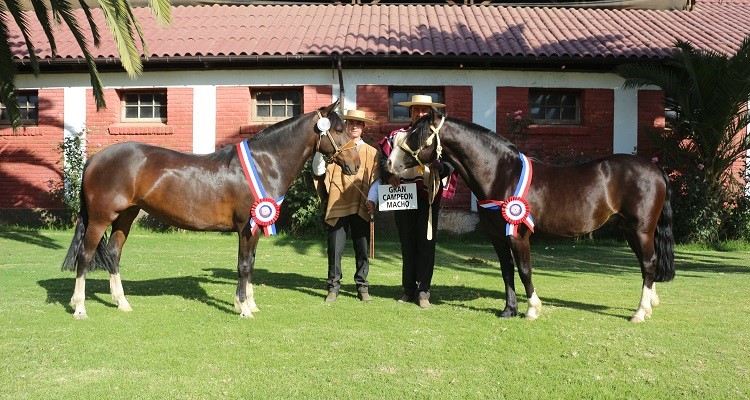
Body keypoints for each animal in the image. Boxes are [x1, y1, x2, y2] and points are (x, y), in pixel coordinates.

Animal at [61, 102, 362, 318]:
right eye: (338, 130)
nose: (356, 164)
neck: (264, 163)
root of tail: (95, 159)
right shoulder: (246, 227)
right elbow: (243, 265)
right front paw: (243, 308)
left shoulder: (255, 227)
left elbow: (251, 264)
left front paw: (250, 303)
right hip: (100, 218)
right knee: (85, 256)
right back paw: (80, 307)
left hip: (126, 216)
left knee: (113, 253)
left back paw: (122, 302)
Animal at [388, 109, 676, 322]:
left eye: (417, 135)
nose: (390, 163)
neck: (501, 174)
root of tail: (656, 170)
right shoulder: (497, 237)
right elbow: (507, 271)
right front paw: (508, 310)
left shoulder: (518, 235)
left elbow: (524, 269)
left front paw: (531, 309)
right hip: (630, 230)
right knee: (646, 264)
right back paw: (650, 305)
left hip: (641, 229)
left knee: (649, 263)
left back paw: (640, 312)